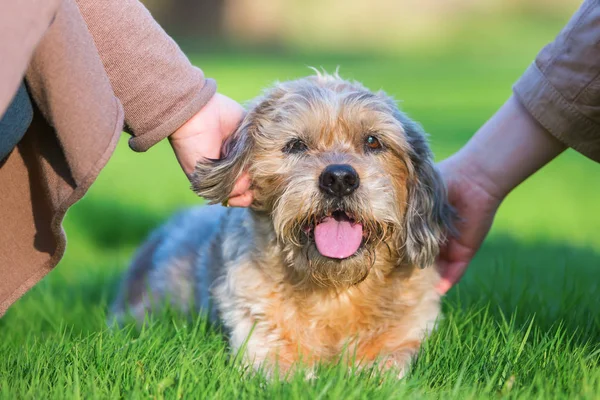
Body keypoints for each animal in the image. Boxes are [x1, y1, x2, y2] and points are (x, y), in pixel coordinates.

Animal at [110, 72, 452, 378]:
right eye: (296, 145)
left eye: (373, 141)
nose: (339, 178)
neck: (335, 291)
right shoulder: (261, 338)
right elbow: (288, 377)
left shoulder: (406, 336)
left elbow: (387, 367)